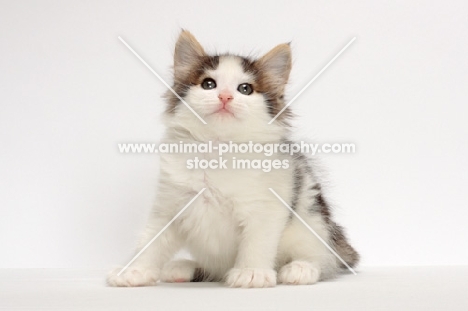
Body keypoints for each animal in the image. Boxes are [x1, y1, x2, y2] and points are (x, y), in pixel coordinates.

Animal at [108, 30, 360, 288]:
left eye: (245, 89)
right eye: (209, 84)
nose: (225, 96)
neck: (218, 149)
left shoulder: (266, 207)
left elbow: (257, 242)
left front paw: (252, 272)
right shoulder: (169, 205)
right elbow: (150, 240)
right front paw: (135, 270)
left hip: (312, 220)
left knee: (324, 260)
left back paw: (301, 268)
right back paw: (184, 267)